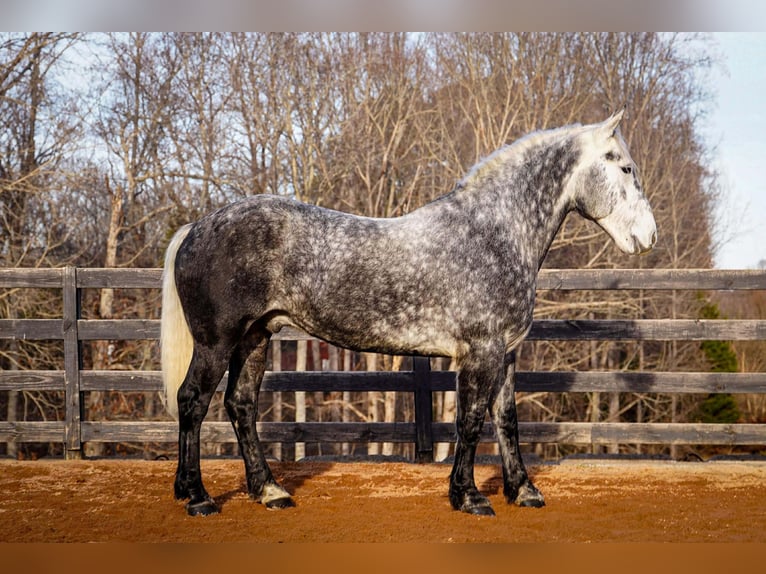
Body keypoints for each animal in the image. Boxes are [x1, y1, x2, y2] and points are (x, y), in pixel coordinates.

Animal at [161, 109, 656, 517]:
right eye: (625, 167)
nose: (648, 236)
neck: (493, 233)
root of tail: (196, 227)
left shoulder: (507, 353)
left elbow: (507, 421)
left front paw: (523, 491)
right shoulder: (480, 353)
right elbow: (470, 421)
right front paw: (469, 497)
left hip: (255, 337)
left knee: (241, 405)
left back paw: (269, 491)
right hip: (216, 342)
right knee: (192, 401)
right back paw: (197, 497)